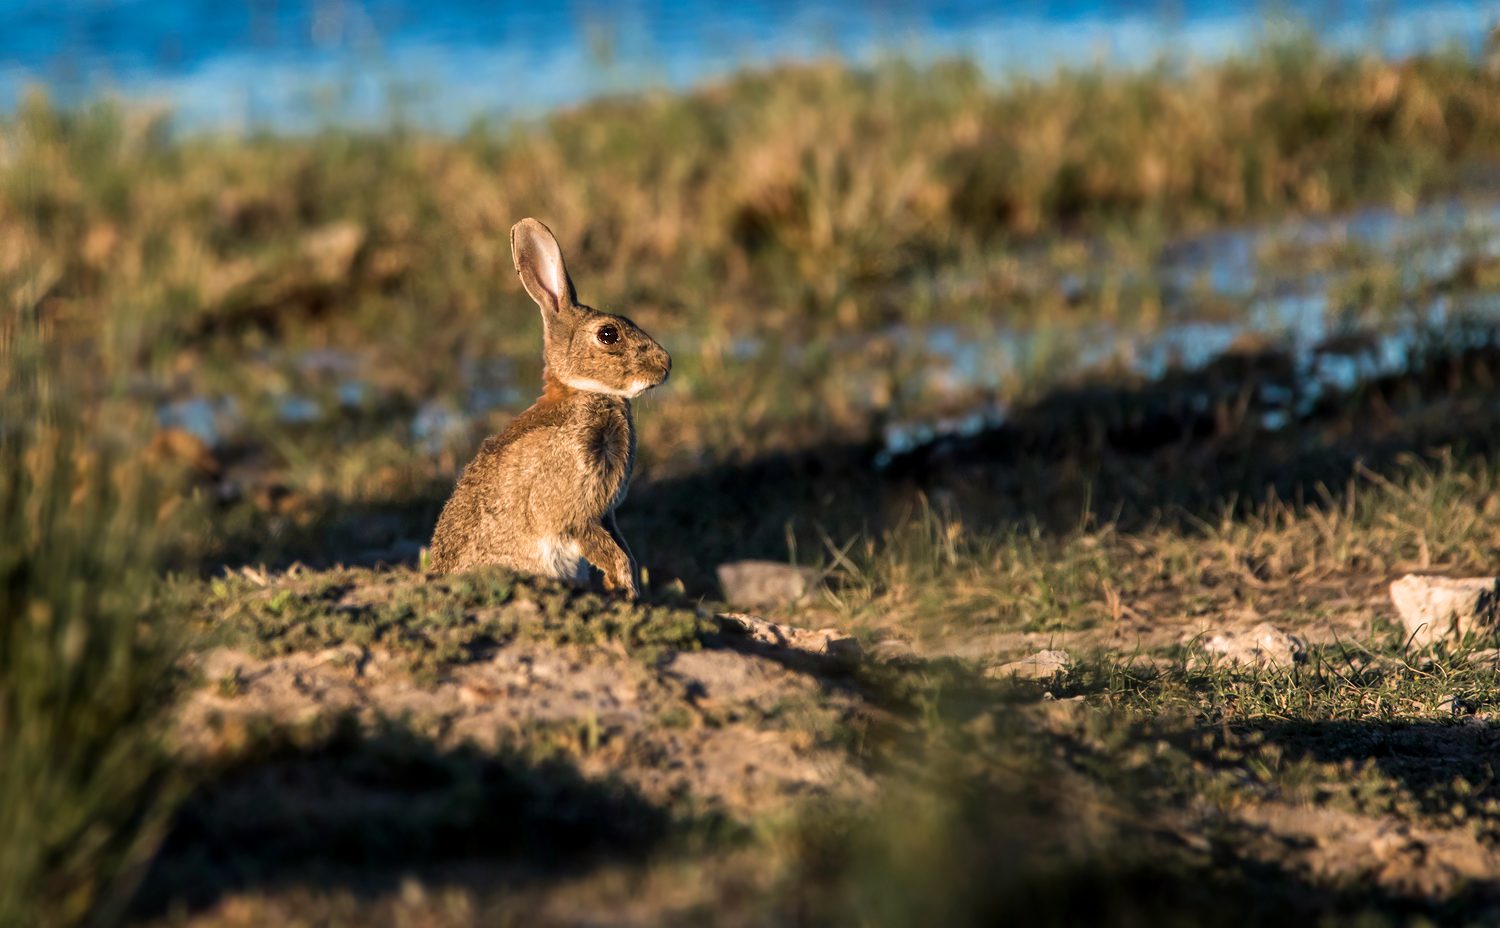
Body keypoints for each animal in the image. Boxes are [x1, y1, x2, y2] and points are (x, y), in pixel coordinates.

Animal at [429, 218, 675, 599]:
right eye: (608, 335)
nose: (666, 365)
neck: (583, 391)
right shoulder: (574, 513)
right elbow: (607, 550)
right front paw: (625, 590)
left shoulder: (606, 514)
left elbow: (623, 548)